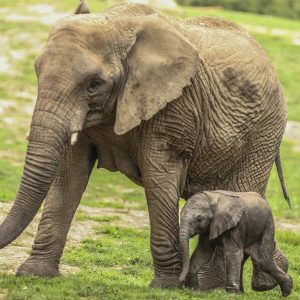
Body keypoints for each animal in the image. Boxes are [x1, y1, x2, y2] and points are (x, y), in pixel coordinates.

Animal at [0, 0, 290, 290]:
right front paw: (34, 273)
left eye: (94, 84)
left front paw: (167, 286)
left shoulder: (175, 107)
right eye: (37, 71)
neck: (116, 23)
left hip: (264, 132)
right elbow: (70, 173)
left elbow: (158, 177)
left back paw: (228, 286)